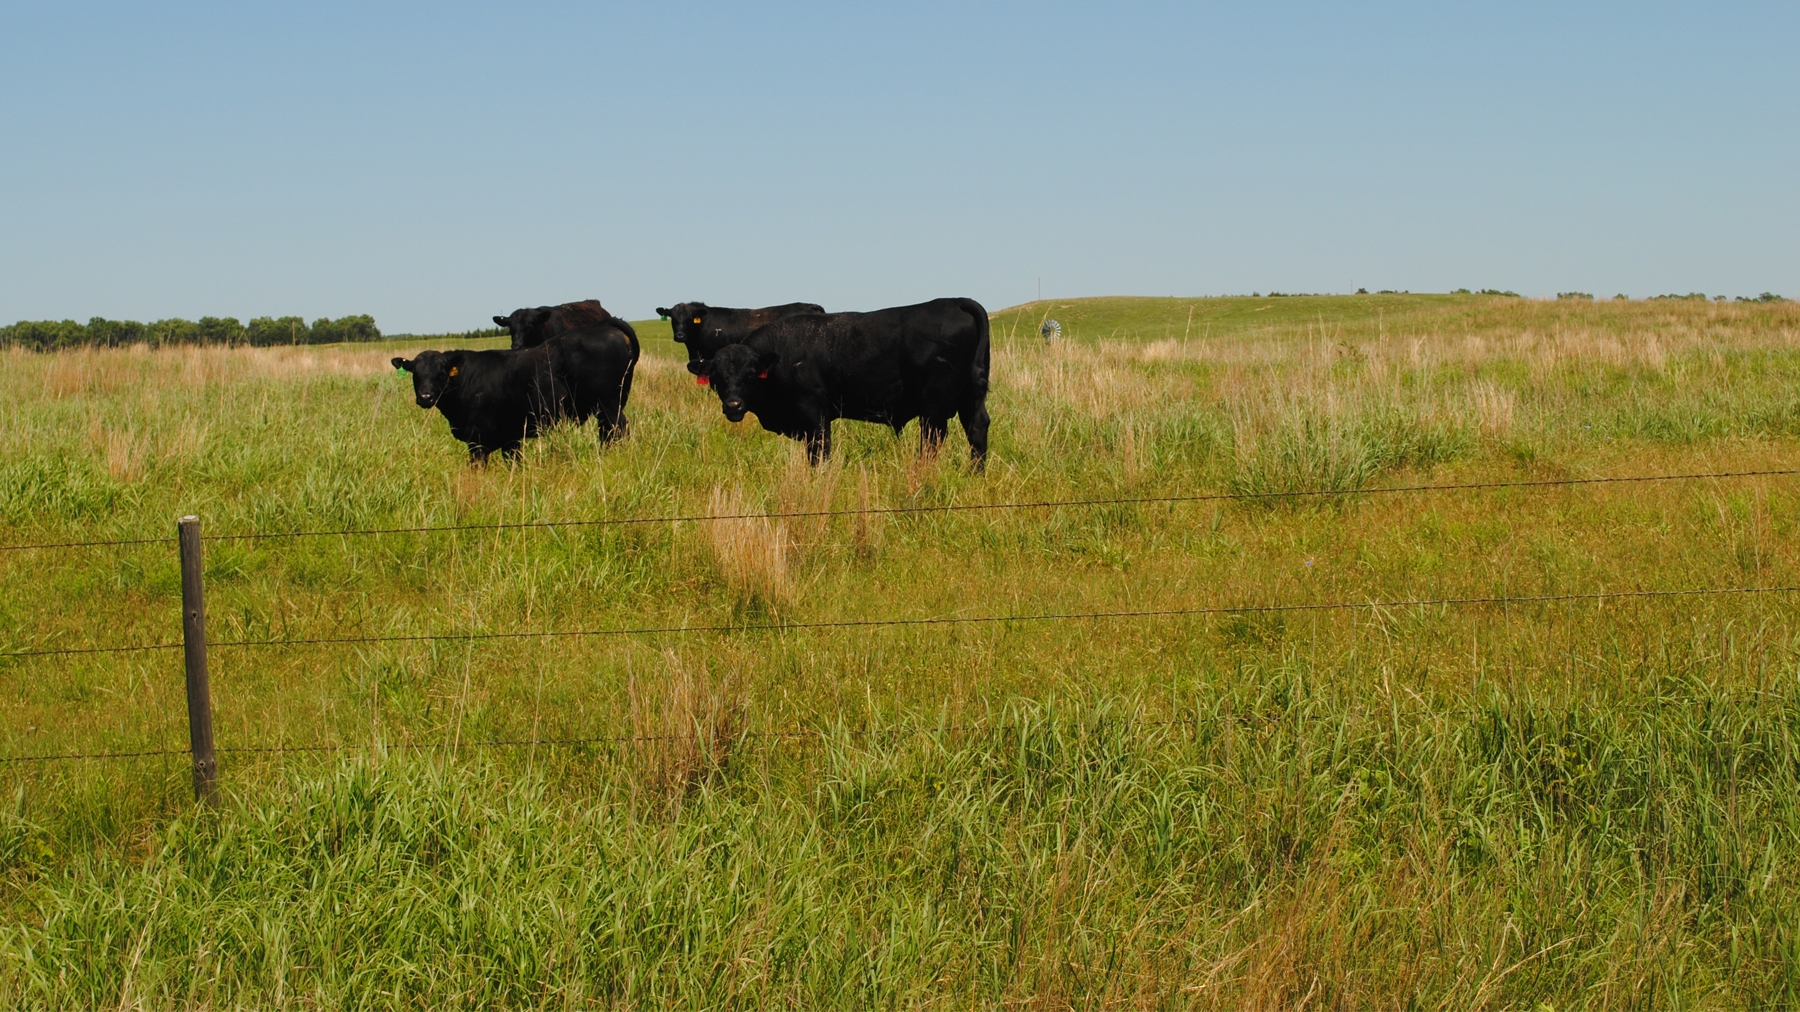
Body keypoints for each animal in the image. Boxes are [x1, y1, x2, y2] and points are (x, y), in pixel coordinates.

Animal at [393, 322, 636, 462]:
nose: (425, 397)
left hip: (608, 404)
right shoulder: (510, 438)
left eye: (441, 372)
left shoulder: (477, 440)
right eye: (416, 373)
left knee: (618, 429)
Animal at [685, 298, 990, 467]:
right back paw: (975, 474)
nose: (733, 405)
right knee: (976, 430)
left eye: (750, 374)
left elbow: (819, 453)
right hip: (970, 397)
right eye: (717, 378)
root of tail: (954, 301)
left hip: (934, 406)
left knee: (932, 439)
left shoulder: (814, 415)